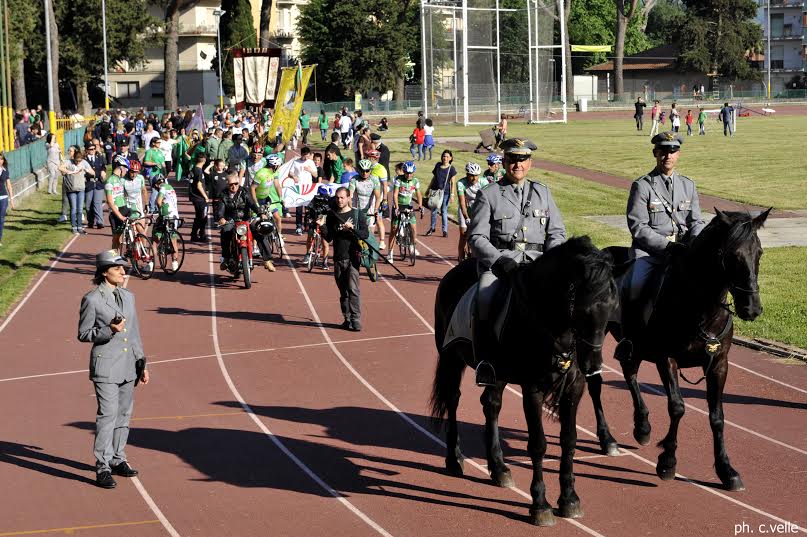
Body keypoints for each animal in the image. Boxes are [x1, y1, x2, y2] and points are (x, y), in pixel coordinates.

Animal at [430, 237, 620, 524]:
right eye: (583, 308)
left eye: (612, 306)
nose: (593, 365)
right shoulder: (533, 389)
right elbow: (538, 445)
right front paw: (540, 505)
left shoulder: (574, 388)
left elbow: (569, 440)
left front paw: (569, 498)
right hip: (451, 357)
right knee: (453, 399)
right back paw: (454, 459)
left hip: (496, 373)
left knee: (491, 405)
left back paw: (498, 468)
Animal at [588, 208, 772, 490]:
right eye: (731, 255)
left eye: (759, 252)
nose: (751, 308)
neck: (699, 306)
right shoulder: (667, 358)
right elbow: (677, 407)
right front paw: (667, 462)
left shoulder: (719, 364)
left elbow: (717, 416)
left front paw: (726, 470)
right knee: (595, 385)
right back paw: (607, 439)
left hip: (634, 347)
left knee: (629, 372)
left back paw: (642, 426)